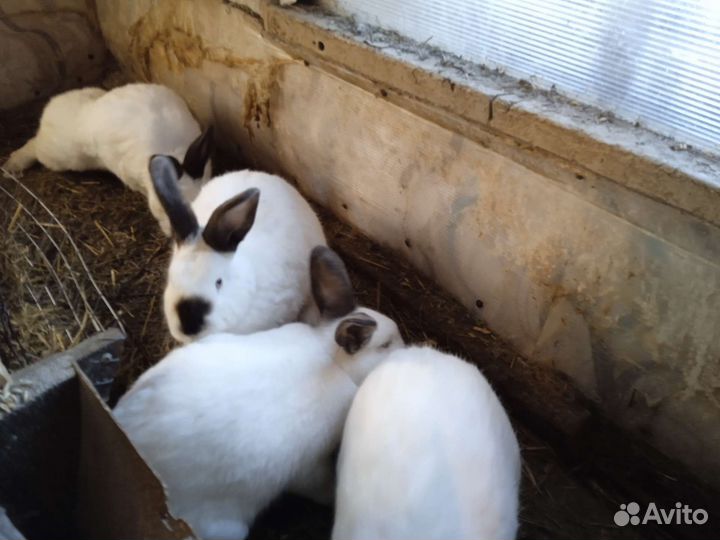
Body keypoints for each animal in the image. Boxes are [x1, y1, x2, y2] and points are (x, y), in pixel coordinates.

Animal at [2, 83, 213, 235]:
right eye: (166, 207)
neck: (173, 150)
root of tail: (50, 109)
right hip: (59, 156)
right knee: (34, 146)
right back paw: (10, 167)